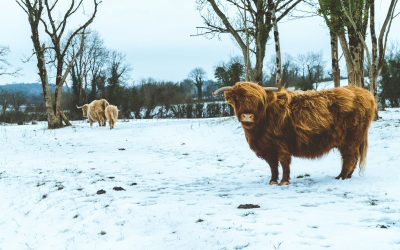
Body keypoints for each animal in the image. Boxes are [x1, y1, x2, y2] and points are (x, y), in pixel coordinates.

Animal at [214, 82, 376, 186]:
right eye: (237, 99)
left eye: (258, 101)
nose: (247, 116)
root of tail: (363, 92)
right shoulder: (268, 149)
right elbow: (273, 166)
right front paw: (272, 181)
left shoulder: (281, 145)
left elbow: (284, 163)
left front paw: (284, 181)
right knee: (352, 158)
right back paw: (346, 176)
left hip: (350, 139)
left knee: (349, 158)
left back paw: (341, 177)